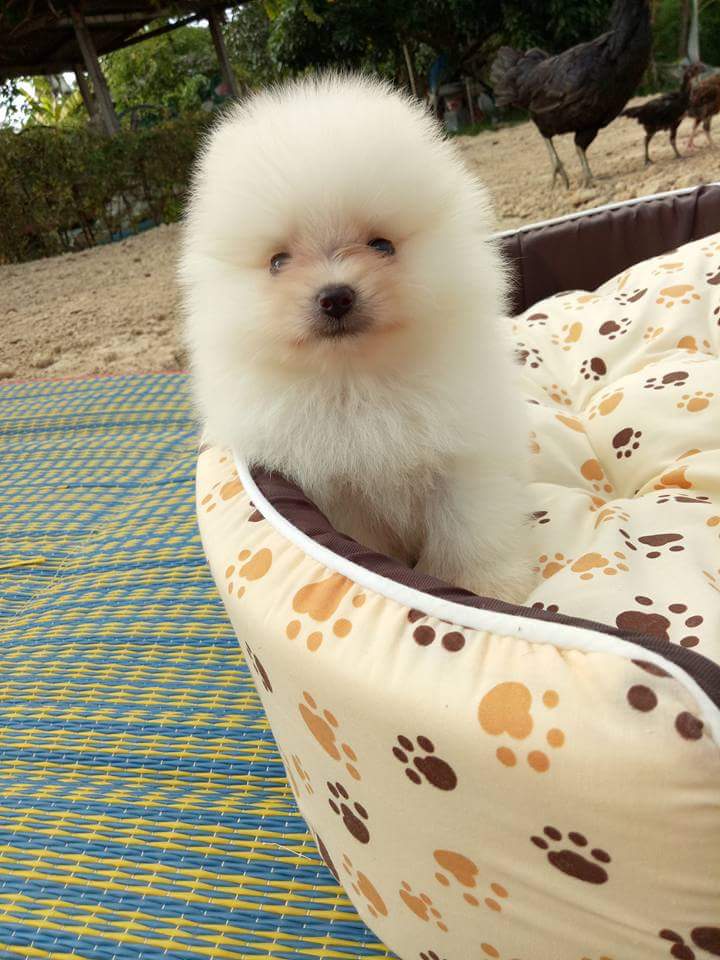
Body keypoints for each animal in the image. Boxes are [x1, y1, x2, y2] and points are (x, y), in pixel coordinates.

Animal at [181, 73, 533, 602]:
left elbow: (467, 526)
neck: (356, 380)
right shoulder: (340, 490)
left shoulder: (464, 457)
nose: (335, 297)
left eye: (382, 245)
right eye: (278, 261)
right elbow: (363, 537)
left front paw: (481, 584)